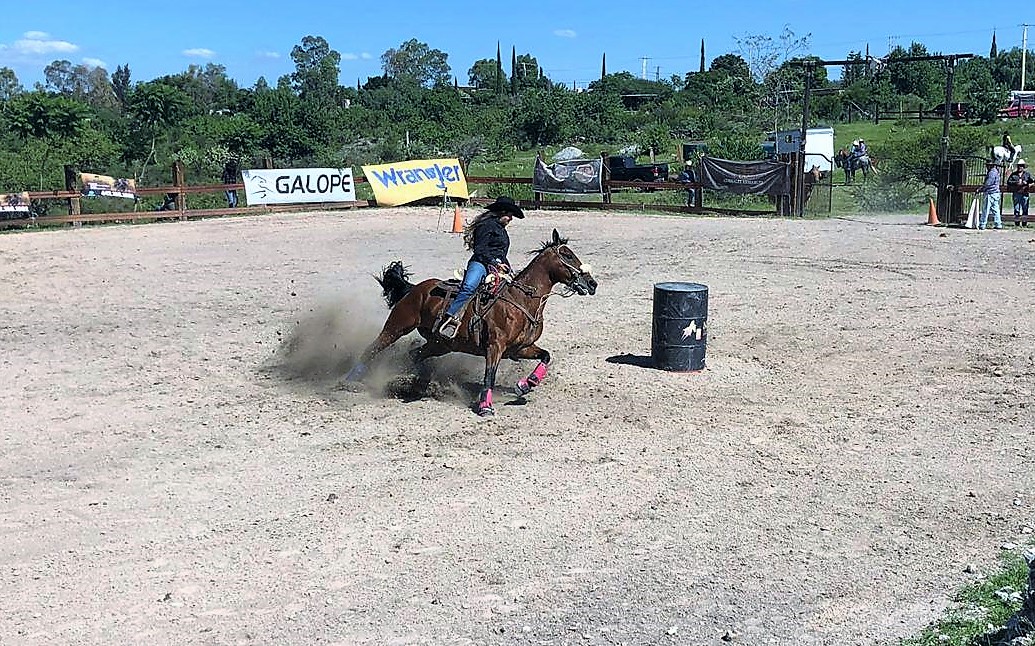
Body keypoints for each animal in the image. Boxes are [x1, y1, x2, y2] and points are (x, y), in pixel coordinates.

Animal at [344, 229, 598, 416]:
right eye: (567, 255)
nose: (592, 283)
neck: (521, 300)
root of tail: (415, 288)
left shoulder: (520, 348)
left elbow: (545, 356)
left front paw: (526, 384)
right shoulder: (495, 346)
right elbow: (489, 375)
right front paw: (485, 407)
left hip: (440, 344)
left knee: (415, 354)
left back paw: (417, 384)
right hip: (397, 326)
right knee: (373, 348)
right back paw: (350, 381)